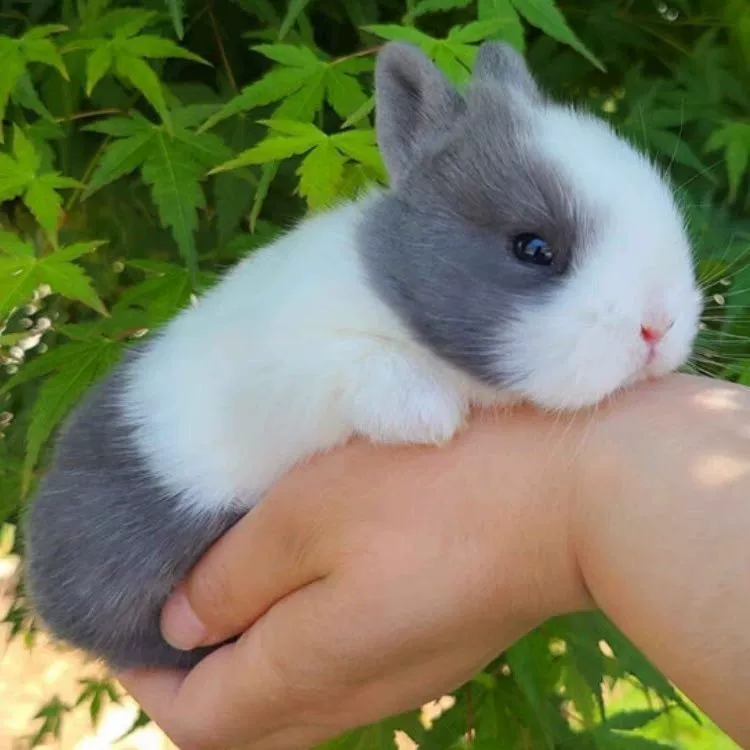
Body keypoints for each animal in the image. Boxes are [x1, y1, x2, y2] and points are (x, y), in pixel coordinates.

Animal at [23, 40, 703, 671]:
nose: (657, 327)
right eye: (533, 249)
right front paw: (428, 416)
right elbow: (347, 364)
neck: (390, 297)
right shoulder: (287, 370)